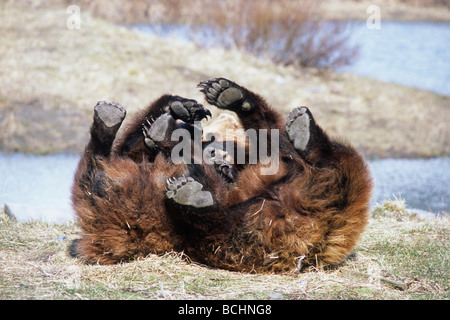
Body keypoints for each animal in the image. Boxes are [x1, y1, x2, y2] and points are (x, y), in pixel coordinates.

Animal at [71, 77, 372, 272]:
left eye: (215, 137)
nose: (205, 140)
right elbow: (133, 149)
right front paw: (183, 107)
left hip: (268, 231)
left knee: (222, 229)